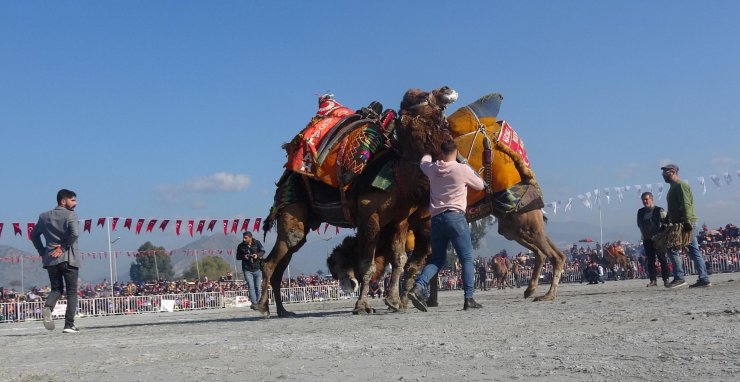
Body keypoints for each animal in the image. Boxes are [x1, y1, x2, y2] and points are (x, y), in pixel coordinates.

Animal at [251, 87, 454, 320]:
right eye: (419, 97)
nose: (446, 90)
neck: (398, 175)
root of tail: (285, 178)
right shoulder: (369, 217)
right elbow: (368, 264)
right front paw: (363, 306)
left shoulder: (399, 221)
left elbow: (399, 260)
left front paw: (393, 301)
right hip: (292, 209)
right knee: (271, 260)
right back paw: (262, 307)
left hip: (304, 224)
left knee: (284, 259)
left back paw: (283, 311)